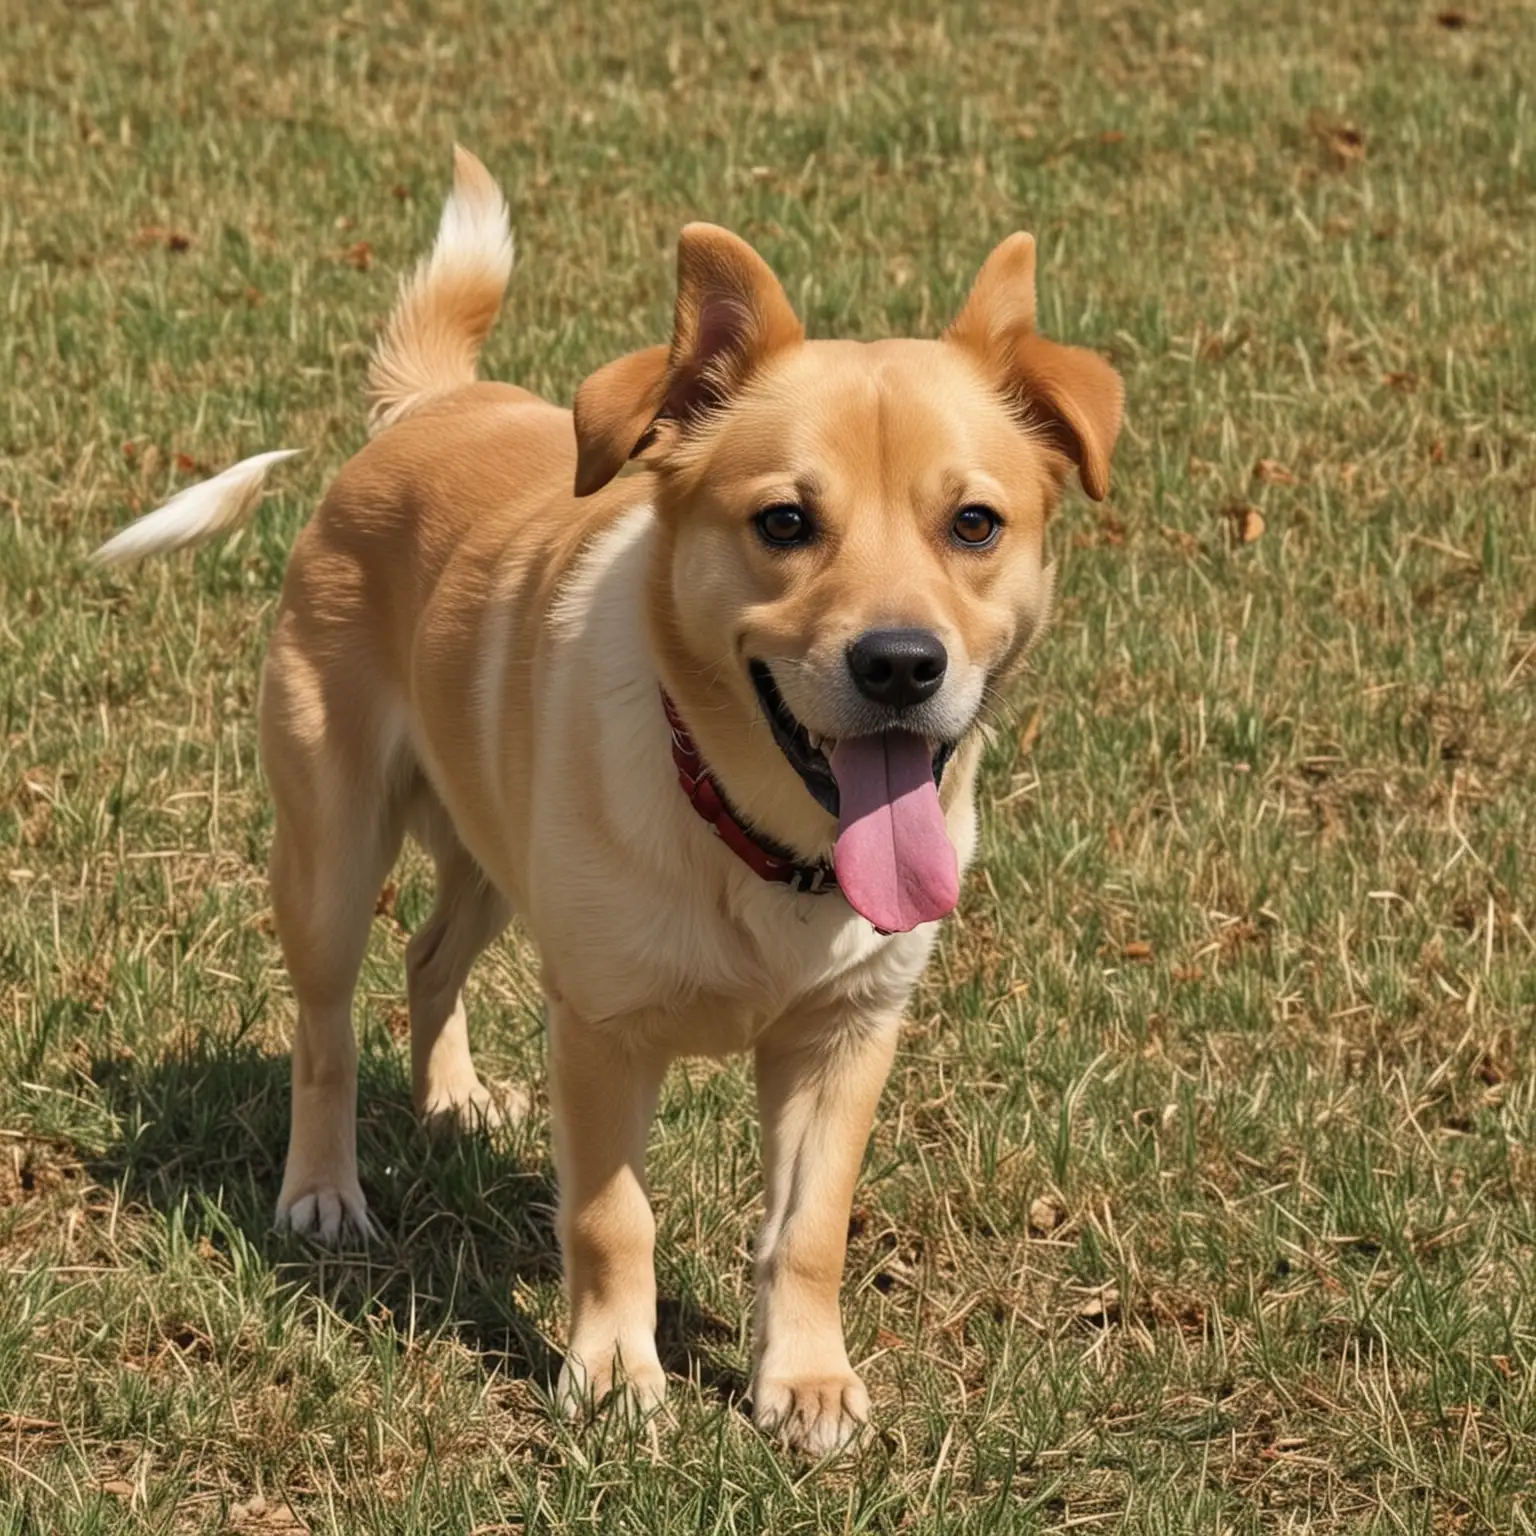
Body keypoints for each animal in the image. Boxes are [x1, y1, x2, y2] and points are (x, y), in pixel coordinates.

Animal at [99, 144, 1130, 1449]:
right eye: (785, 521)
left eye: (976, 523)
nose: (900, 665)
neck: (759, 838)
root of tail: (431, 406)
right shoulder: (600, 1027)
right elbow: (611, 1216)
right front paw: (613, 1377)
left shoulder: (848, 1032)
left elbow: (811, 1228)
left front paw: (807, 1384)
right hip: (332, 846)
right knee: (324, 1028)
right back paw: (324, 1194)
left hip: (496, 849)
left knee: (431, 955)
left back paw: (451, 1098)